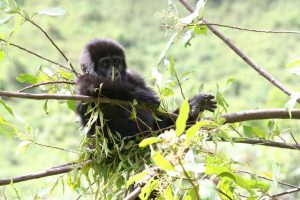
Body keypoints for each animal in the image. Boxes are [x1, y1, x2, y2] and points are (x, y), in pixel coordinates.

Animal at [75, 38, 216, 138]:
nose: (114, 73)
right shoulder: (82, 83)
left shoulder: (135, 76)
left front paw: (194, 105)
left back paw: (195, 107)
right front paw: (142, 96)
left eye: (116, 62)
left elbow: (161, 124)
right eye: (104, 64)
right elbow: (94, 87)